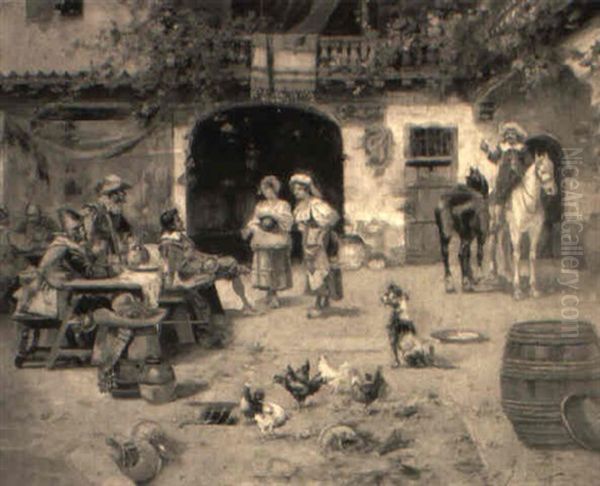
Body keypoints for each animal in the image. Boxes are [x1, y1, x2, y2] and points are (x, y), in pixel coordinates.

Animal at [506, 152, 556, 298]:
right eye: (542, 170)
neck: (528, 203)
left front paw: (533, 288)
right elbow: (517, 256)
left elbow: (532, 256)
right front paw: (517, 289)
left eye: (553, 169)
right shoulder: (516, 231)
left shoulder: (535, 231)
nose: (552, 190)